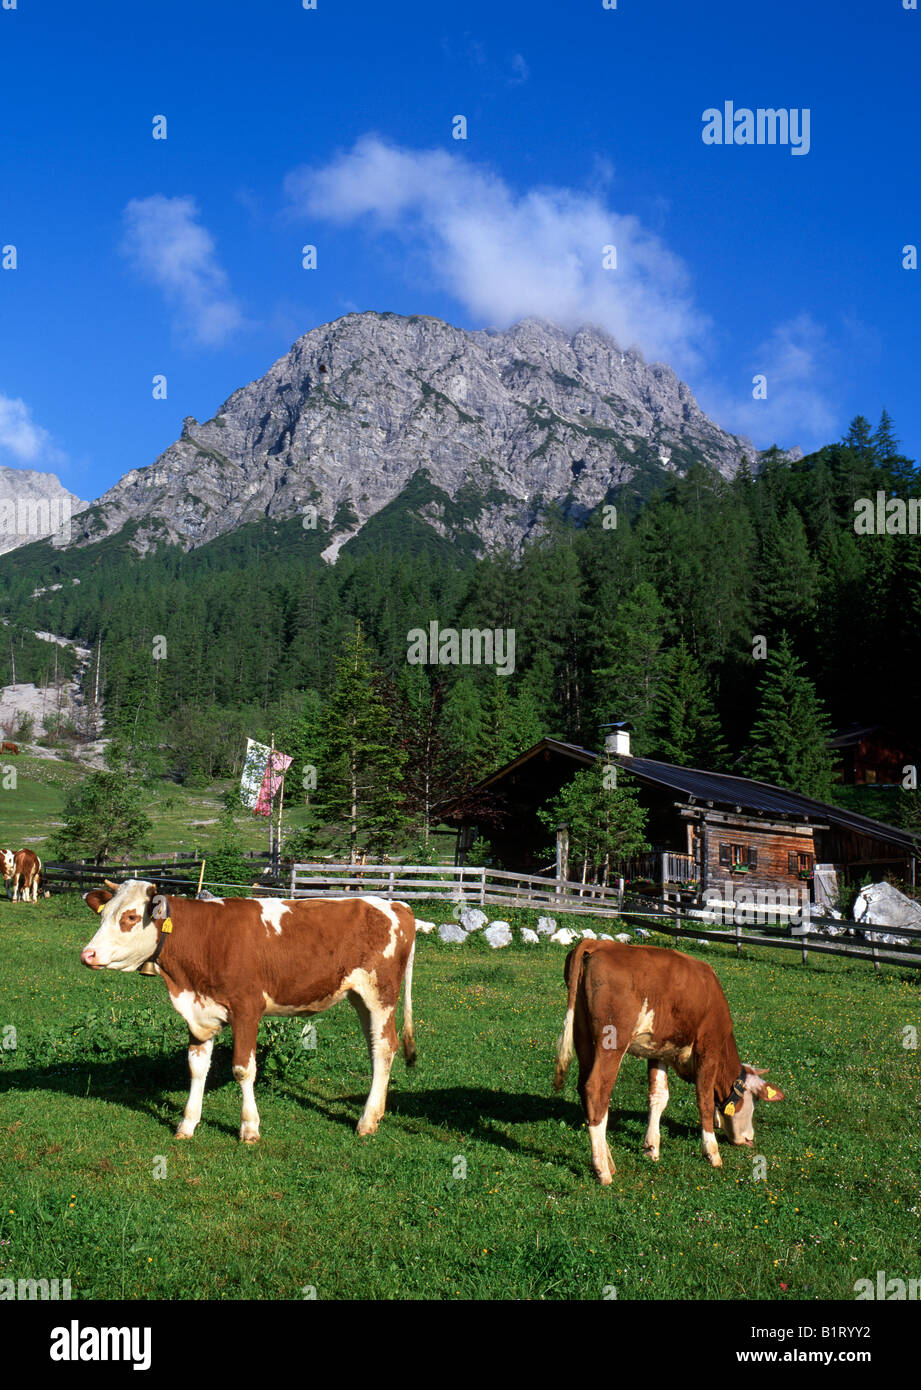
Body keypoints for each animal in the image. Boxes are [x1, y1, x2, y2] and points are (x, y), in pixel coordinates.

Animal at [80, 878, 419, 1139]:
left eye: (130, 917)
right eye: (103, 915)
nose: (88, 954)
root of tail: (397, 906)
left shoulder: (246, 1010)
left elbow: (243, 1069)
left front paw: (249, 1127)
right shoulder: (198, 1012)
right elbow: (196, 1067)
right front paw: (187, 1124)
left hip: (381, 994)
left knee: (384, 1046)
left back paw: (366, 1120)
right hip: (359, 997)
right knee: (376, 1047)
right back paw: (375, 1113)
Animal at [555, 934, 783, 1184]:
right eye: (754, 1100)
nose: (750, 1138)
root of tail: (597, 943)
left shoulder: (659, 1050)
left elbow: (658, 1097)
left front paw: (652, 1147)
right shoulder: (708, 1047)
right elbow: (704, 1099)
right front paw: (712, 1153)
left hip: (583, 1038)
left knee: (585, 1090)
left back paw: (609, 1162)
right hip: (611, 1043)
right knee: (596, 1090)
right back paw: (603, 1170)